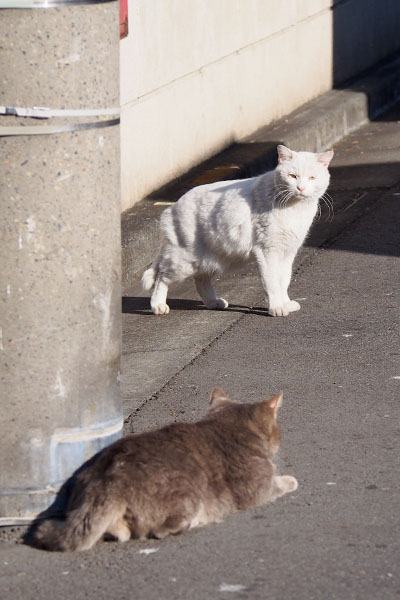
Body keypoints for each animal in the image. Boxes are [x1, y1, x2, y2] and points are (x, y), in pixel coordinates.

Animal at [33, 390, 296, 552]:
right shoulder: (258, 487)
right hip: (189, 494)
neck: (226, 426)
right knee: (160, 530)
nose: (278, 444)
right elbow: (282, 482)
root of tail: (109, 480)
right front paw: (291, 480)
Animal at [142, 144, 332, 318]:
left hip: (212, 258)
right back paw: (158, 305)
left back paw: (213, 302)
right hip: (183, 261)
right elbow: (271, 282)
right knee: (161, 277)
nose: (300, 188)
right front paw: (277, 307)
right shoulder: (267, 251)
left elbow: (284, 279)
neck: (295, 208)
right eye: (293, 176)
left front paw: (285, 302)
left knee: (200, 280)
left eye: (312, 178)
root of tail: (172, 207)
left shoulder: (288, 252)